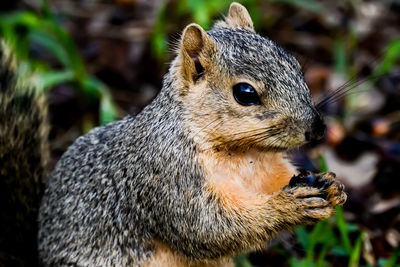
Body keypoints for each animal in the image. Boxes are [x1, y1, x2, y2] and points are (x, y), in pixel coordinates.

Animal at [0, 2, 346, 267]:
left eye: (295, 65)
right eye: (245, 93)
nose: (317, 129)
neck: (243, 153)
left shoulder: (266, 170)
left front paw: (330, 185)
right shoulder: (168, 178)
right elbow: (207, 230)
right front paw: (289, 206)